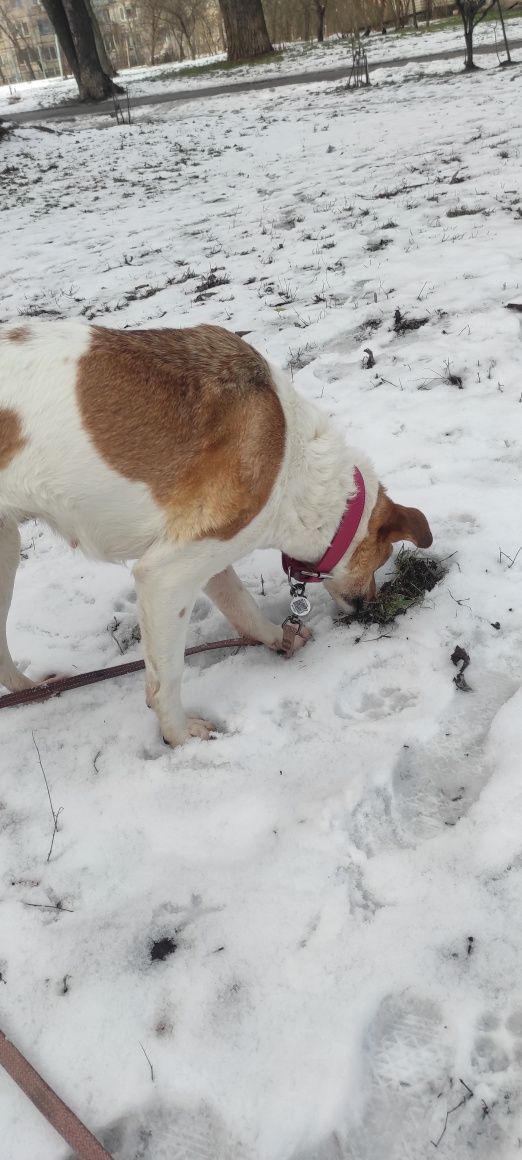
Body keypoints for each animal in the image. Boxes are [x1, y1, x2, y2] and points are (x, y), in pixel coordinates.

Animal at [0, 322, 431, 747]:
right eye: (382, 559)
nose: (372, 605)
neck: (296, 465)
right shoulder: (165, 575)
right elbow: (167, 676)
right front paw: (178, 735)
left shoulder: (206, 553)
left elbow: (242, 606)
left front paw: (279, 637)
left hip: (6, 548)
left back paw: (32, 690)